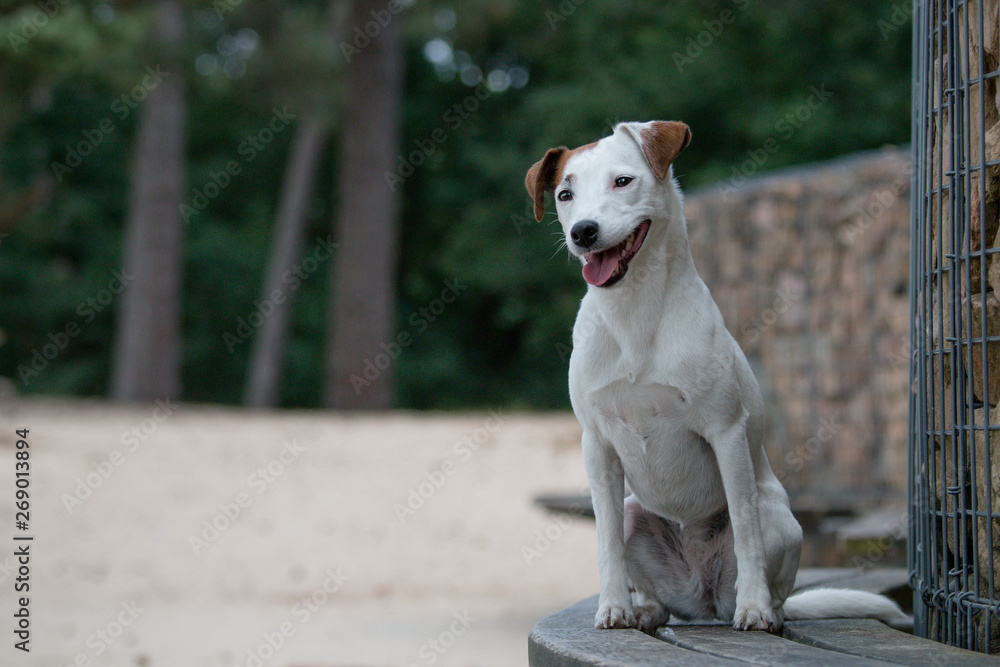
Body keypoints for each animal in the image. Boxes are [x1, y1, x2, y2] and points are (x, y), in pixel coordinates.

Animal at [528, 124, 912, 632]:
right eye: (565, 194)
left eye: (623, 181)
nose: (583, 232)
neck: (633, 313)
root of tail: (704, 598)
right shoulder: (598, 445)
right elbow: (605, 541)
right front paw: (613, 606)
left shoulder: (725, 432)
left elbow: (746, 532)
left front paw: (753, 609)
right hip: (635, 513)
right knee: (654, 588)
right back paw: (645, 609)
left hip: (780, 518)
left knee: (773, 579)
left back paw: (764, 608)